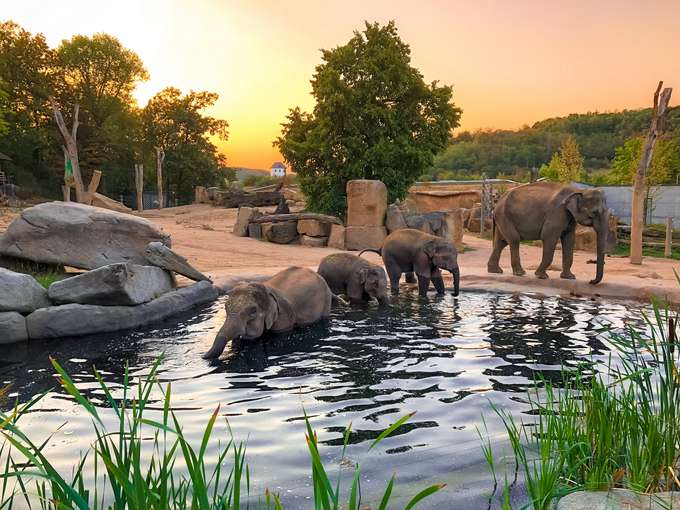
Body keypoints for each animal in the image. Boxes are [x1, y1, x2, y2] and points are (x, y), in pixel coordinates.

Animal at [203, 267, 339, 358]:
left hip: (326, 302)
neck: (267, 290)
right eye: (226, 307)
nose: (202, 355)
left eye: (253, 311)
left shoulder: (283, 316)